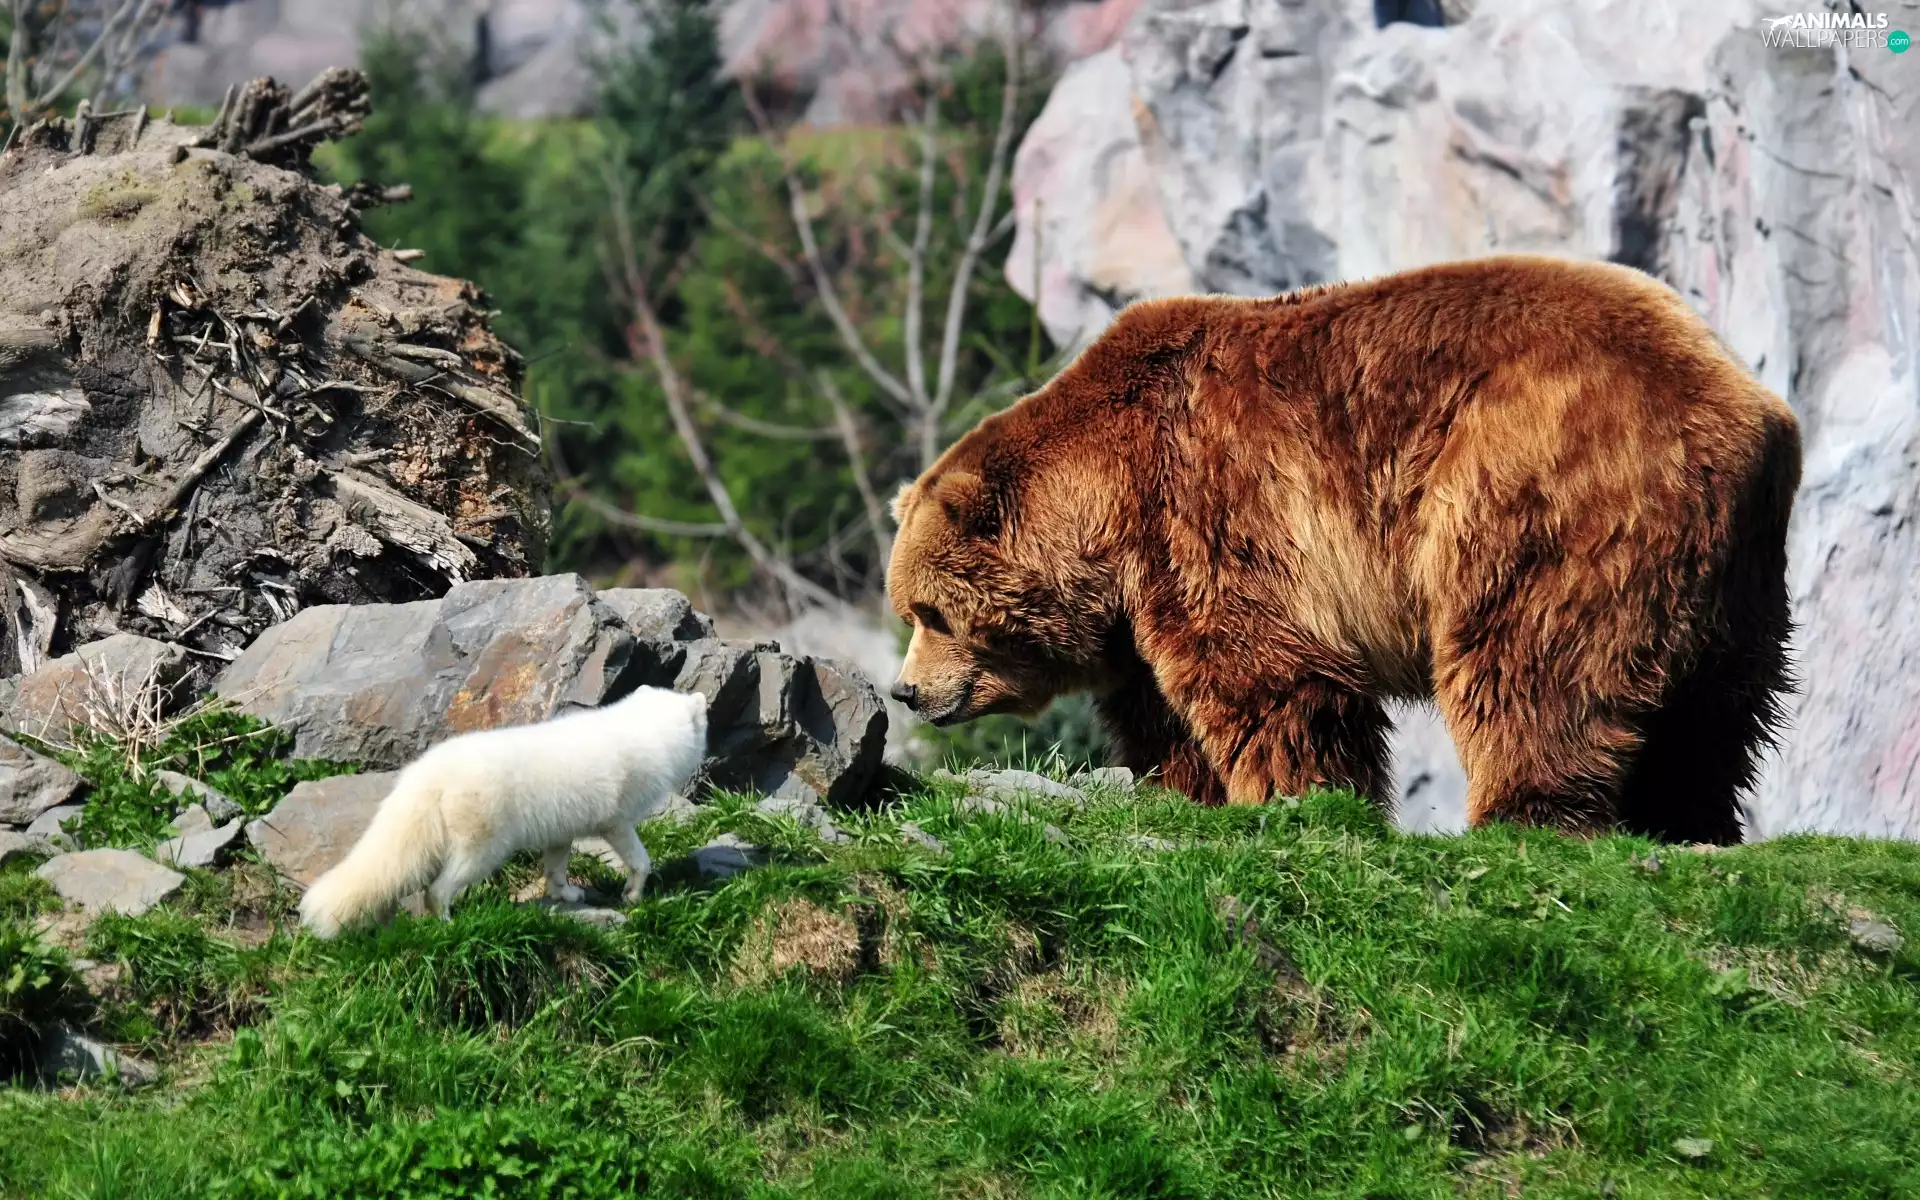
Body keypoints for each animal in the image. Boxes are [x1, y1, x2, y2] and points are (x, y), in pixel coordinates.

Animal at [298, 685, 709, 939]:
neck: (647, 732)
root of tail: (427, 774)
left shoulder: (560, 830)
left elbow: (555, 866)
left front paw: (566, 895)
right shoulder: (618, 821)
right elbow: (641, 859)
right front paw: (633, 895)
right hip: (485, 845)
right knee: (438, 889)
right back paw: (447, 924)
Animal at [884, 254, 1800, 844]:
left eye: (931, 613)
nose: (906, 692)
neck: (1106, 502)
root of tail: (1744, 403)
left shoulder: (1207, 502)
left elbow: (1268, 673)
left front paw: (1295, 797)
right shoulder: (1140, 603)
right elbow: (1161, 713)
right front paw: (1186, 790)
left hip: (1539, 481)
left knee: (1530, 657)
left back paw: (1523, 812)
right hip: (1737, 568)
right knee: (1718, 706)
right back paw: (1690, 818)